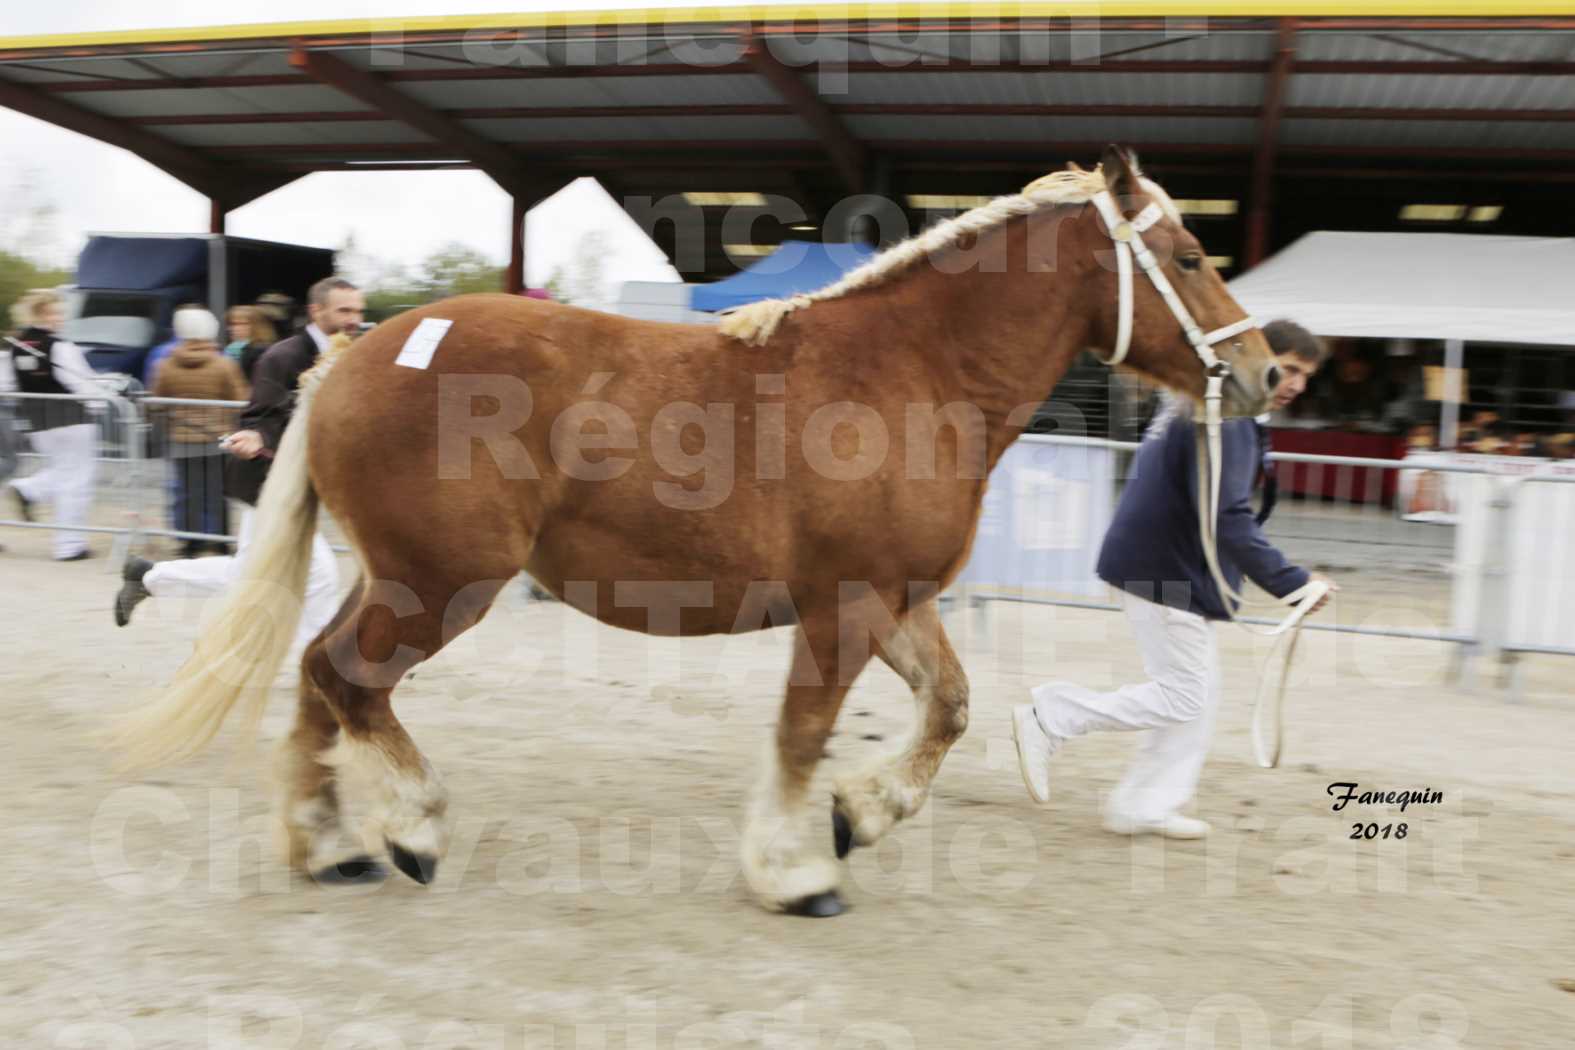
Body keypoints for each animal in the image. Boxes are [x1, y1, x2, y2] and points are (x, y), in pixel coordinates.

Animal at [119, 149, 1278, 919]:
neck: (908, 376)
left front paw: (863, 813)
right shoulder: (841, 607)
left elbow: (947, 708)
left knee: (319, 679)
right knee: (346, 679)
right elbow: (802, 736)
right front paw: (798, 871)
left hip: (396, 579)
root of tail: (348, 359)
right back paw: (409, 830)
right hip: (441, 584)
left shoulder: (898, 598)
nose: (1264, 371)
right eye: (1187, 253)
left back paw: (329, 849)